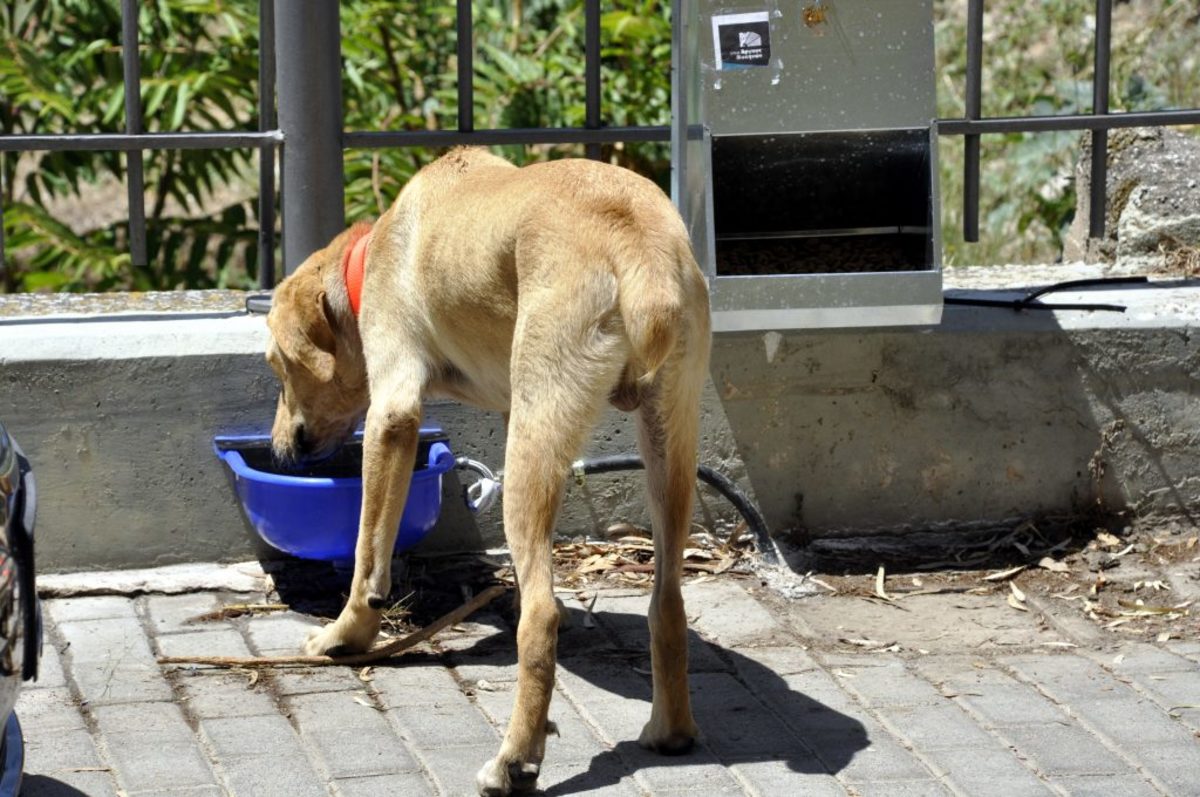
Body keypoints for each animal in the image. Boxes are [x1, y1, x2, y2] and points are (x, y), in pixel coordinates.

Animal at [265, 146, 710, 792]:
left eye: (277, 367)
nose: (280, 449)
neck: (373, 254)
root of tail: (638, 240)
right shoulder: (506, 408)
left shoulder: (392, 412)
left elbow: (368, 555)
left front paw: (347, 635)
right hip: (664, 448)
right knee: (666, 601)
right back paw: (670, 731)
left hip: (532, 446)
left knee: (541, 622)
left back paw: (514, 759)